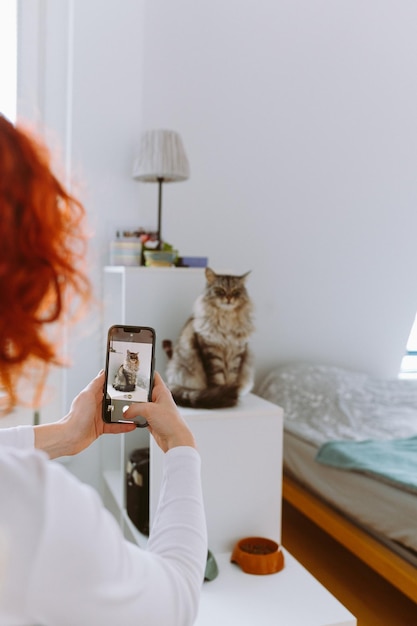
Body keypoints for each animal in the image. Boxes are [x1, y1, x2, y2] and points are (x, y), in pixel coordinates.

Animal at [162, 266, 254, 408]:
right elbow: (217, 378)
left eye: (235, 291)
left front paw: (232, 391)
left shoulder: (237, 352)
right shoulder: (211, 349)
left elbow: (232, 377)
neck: (226, 321)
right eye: (220, 290)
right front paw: (223, 393)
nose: (229, 298)